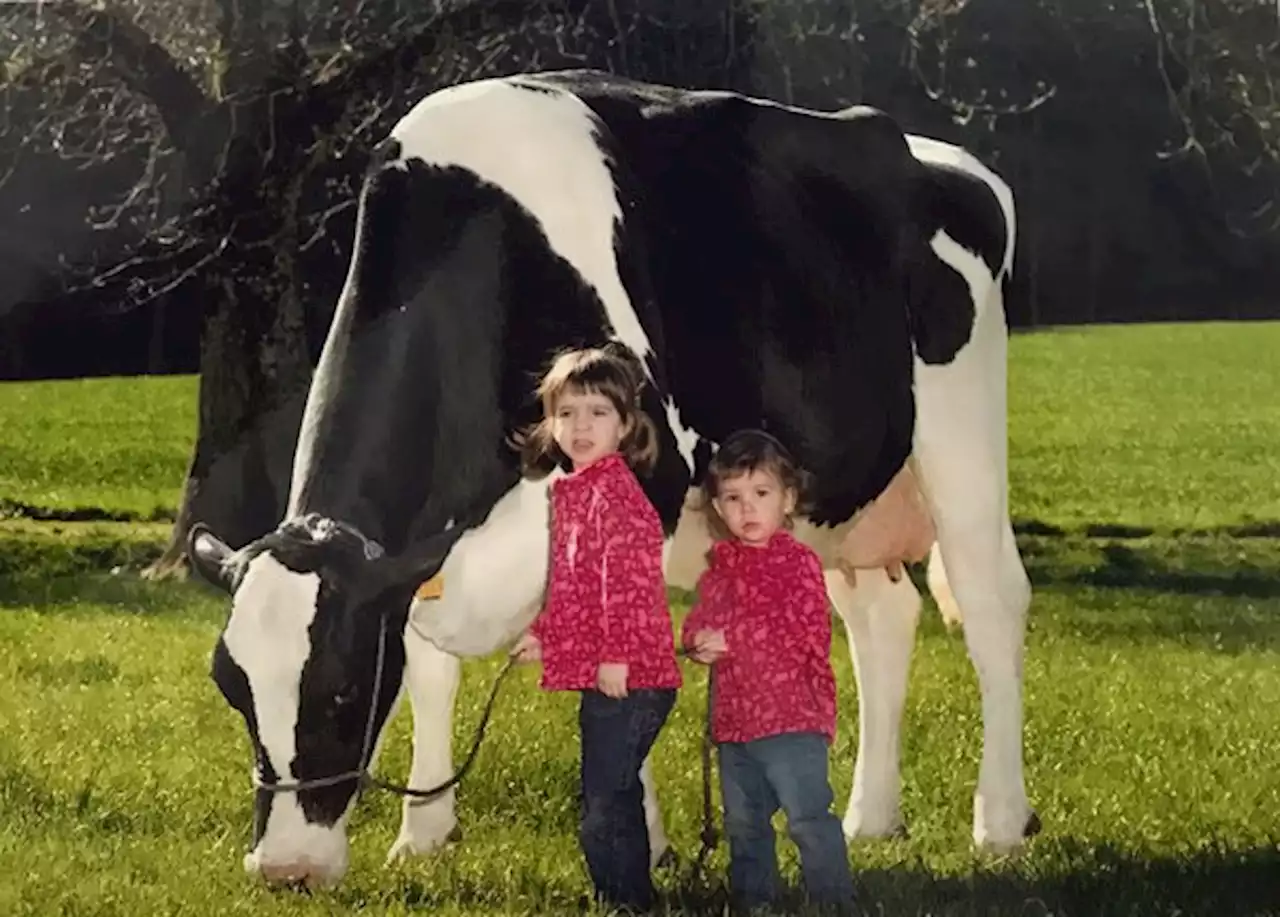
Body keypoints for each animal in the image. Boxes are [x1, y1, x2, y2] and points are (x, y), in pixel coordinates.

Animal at [186, 69, 1039, 886]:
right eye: (232, 688)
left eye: (340, 691)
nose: (284, 867)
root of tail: (939, 154)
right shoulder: (426, 555)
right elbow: (430, 665)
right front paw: (423, 835)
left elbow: (620, 664)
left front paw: (642, 839)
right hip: (842, 496)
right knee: (881, 617)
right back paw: (869, 818)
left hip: (961, 438)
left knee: (992, 600)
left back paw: (1000, 822)